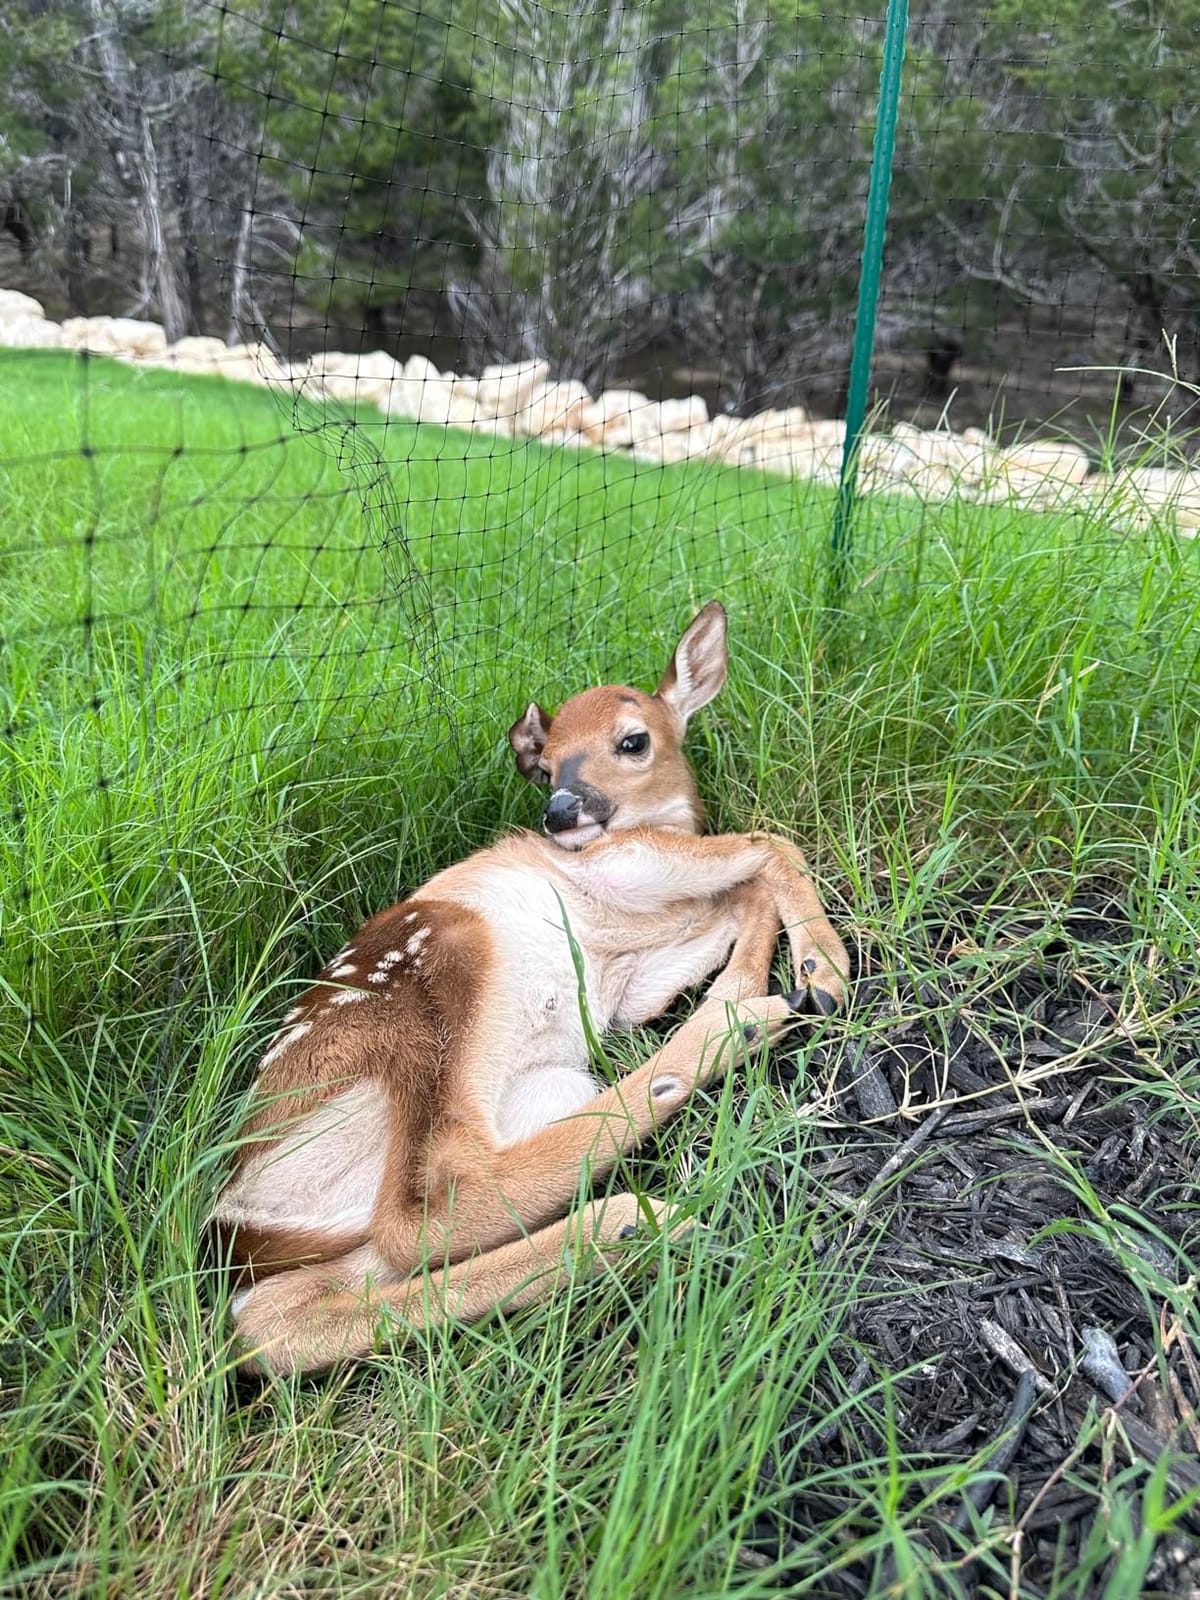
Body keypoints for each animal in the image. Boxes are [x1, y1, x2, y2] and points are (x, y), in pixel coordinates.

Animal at [214, 601, 849, 1375]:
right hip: (443, 978)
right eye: (544, 768)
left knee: (276, 1325)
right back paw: (655, 1175)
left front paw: (769, 975)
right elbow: (767, 845)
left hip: (522, 1099)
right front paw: (826, 969)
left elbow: (739, 895)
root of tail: (240, 1223)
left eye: (633, 740)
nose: (561, 812)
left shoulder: (632, 976)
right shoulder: (623, 863)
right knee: (431, 1204)